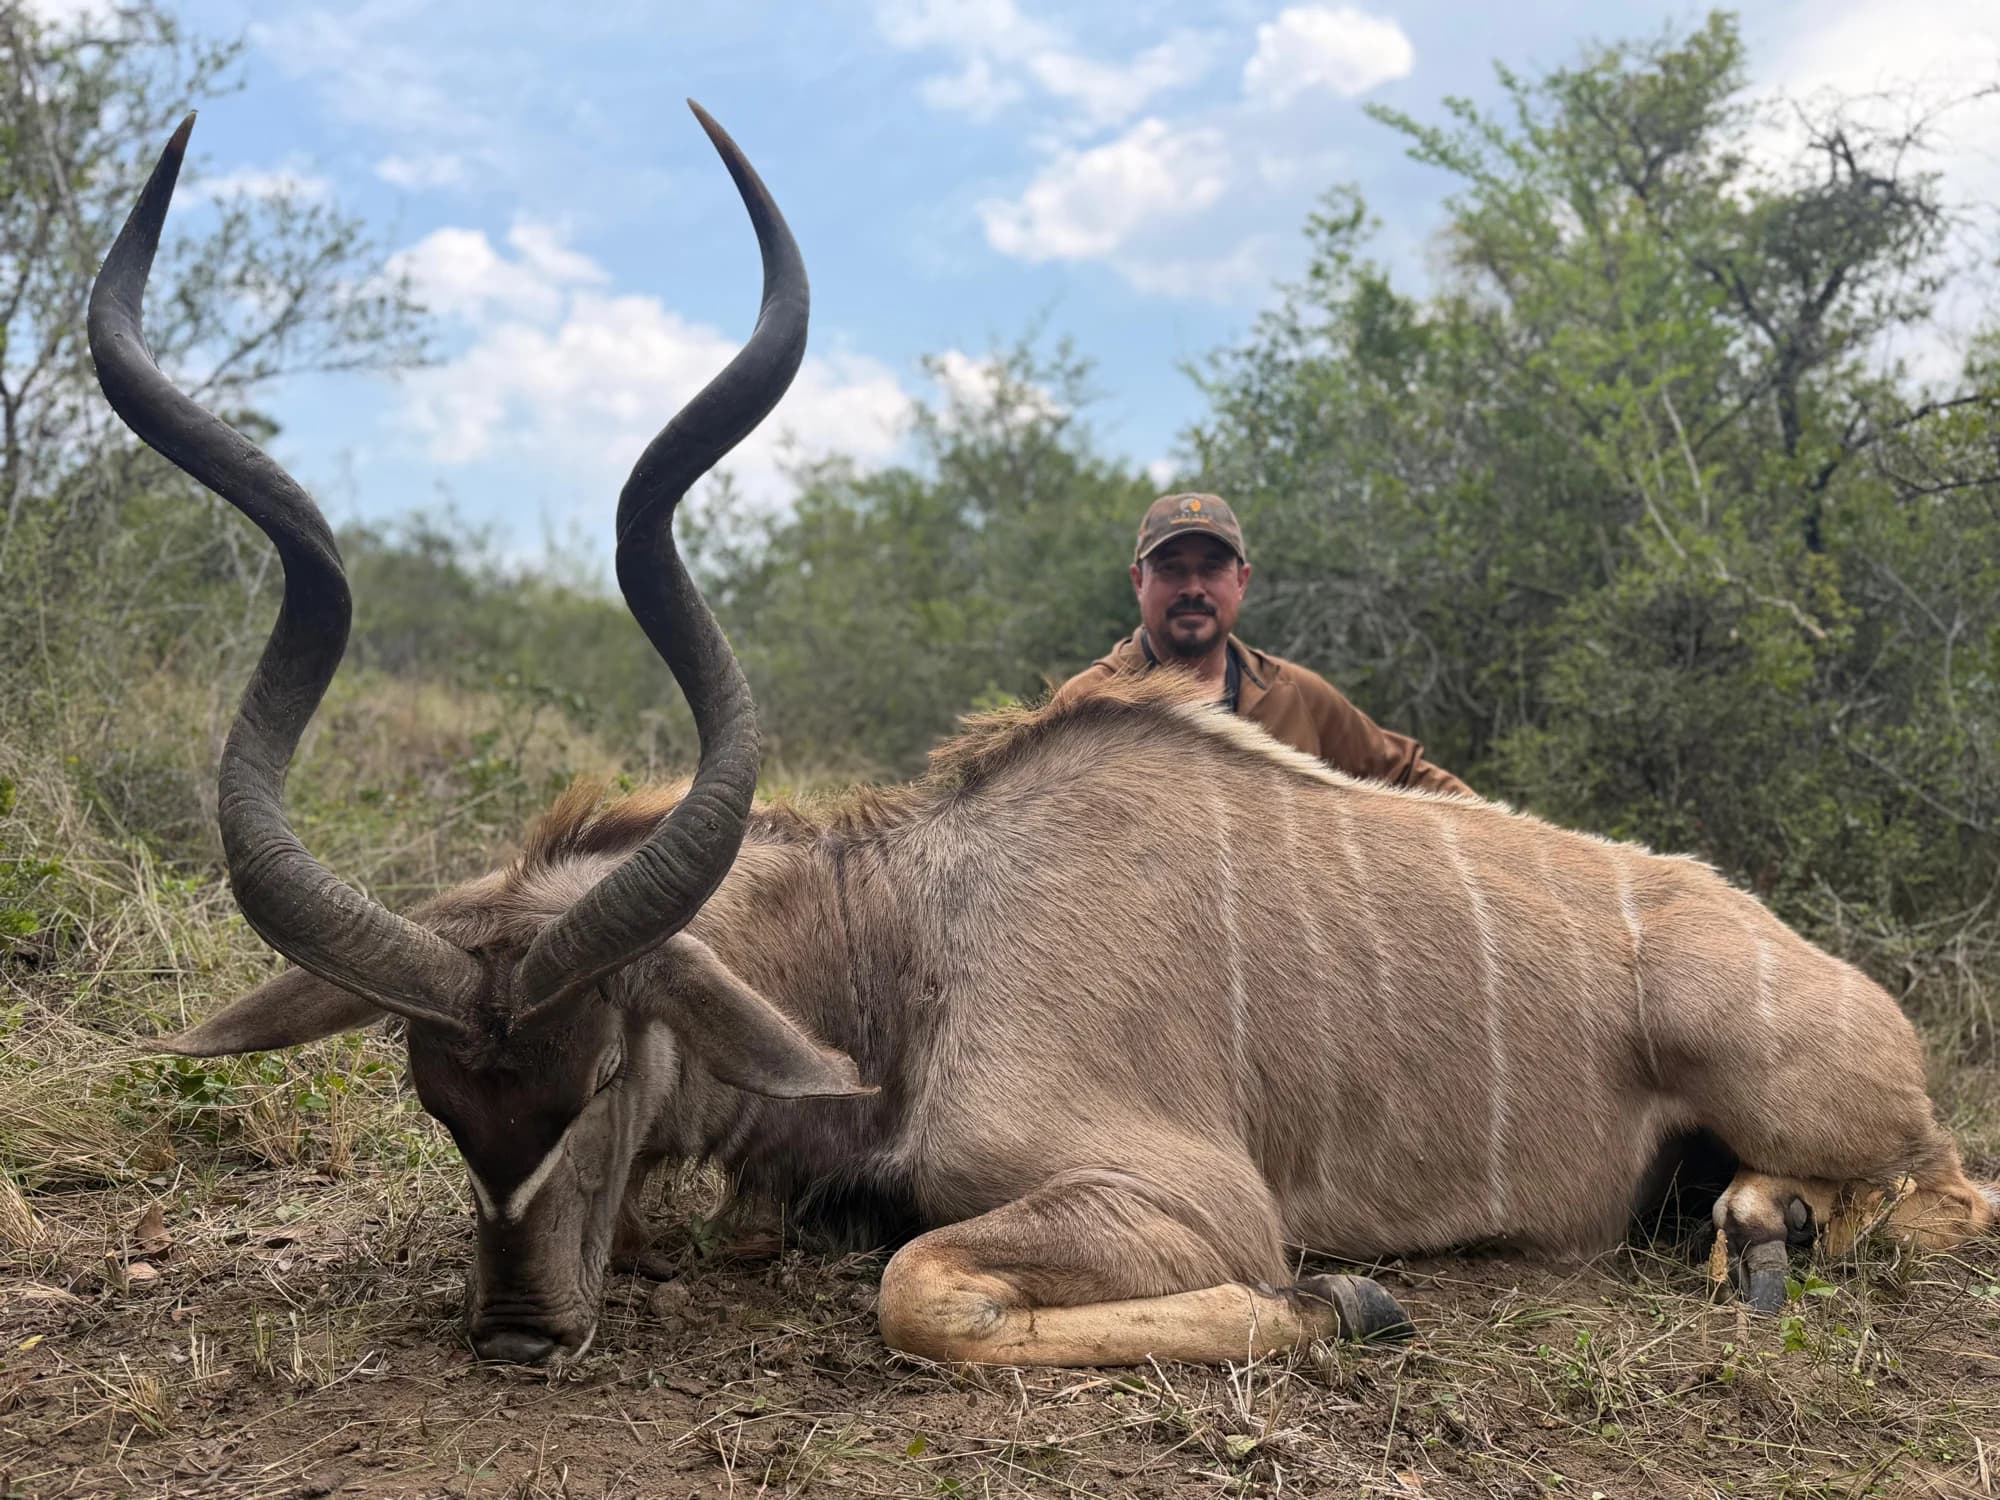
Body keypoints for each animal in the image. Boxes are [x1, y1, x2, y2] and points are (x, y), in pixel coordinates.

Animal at [92, 107, 1998, 1369]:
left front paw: (1344, 1296)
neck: (909, 936)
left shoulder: (1175, 1197)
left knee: (1948, 1194)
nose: (513, 1326)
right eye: (435, 1093)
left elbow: (927, 1288)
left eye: (611, 1063)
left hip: (1796, 1079)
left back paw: (1769, 1240)